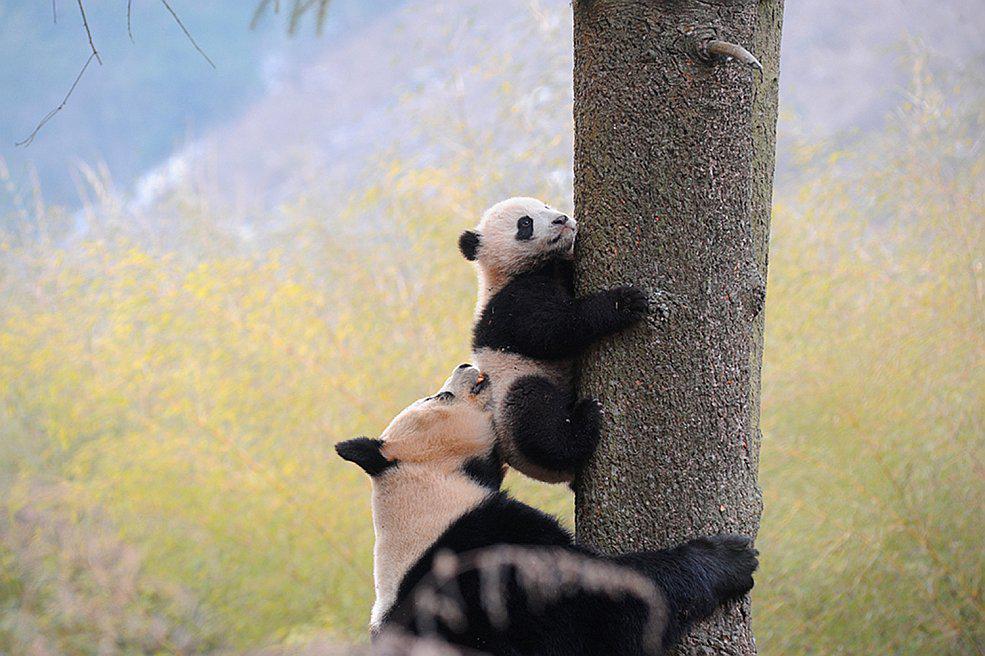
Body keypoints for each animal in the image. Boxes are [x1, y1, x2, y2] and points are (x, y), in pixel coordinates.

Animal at [335, 364, 758, 656]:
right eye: (440, 398)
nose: (464, 365)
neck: (425, 482)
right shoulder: (487, 552)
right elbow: (599, 607)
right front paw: (729, 558)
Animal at [458, 197, 649, 483]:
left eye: (545, 207)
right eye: (525, 223)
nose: (561, 219)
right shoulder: (512, 305)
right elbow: (556, 330)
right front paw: (624, 303)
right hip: (511, 394)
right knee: (536, 417)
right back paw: (584, 422)